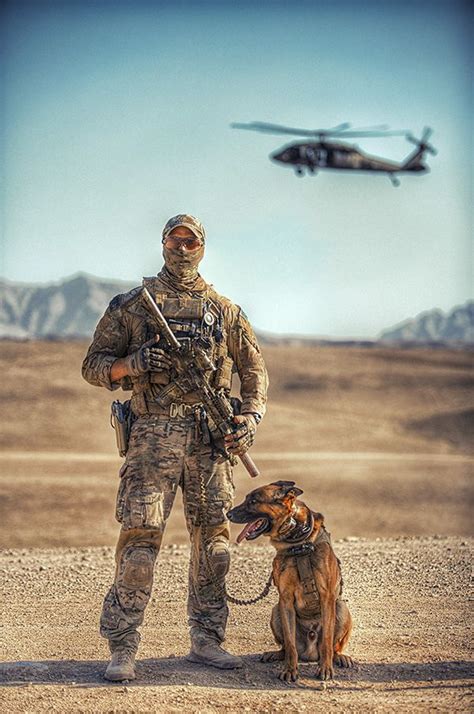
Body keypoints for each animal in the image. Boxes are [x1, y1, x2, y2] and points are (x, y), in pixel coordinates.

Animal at [228, 478, 354, 680]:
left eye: (253, 501)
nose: (228, 513)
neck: (298, 542)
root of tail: (310, 652)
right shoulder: (285, 599)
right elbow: (290, 643)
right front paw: (289, 670)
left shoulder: (327, 597)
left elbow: (327, 641)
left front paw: (325, 669)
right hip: (276, 611)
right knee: (286, 647)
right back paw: (275, 654)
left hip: (341, 608)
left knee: (332, 647)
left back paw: (339, 657)